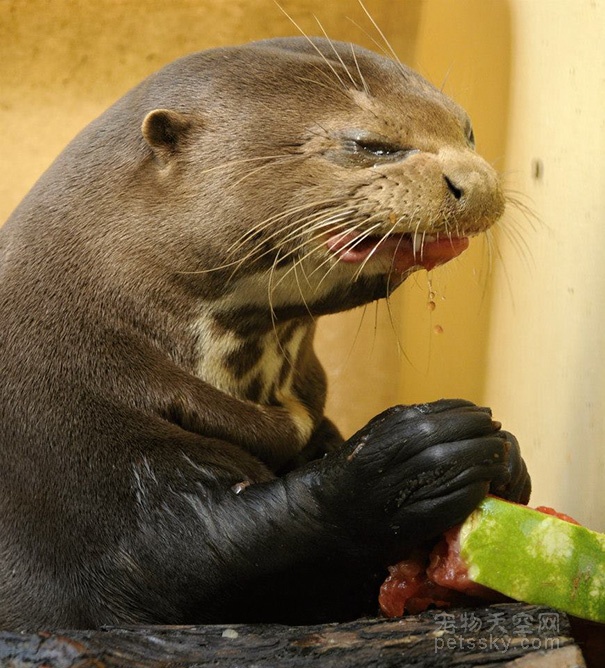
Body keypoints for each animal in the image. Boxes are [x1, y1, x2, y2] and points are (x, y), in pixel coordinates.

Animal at [0, 39, 528, 628]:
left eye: (468, 130)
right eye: (370, 145)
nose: (476, 183)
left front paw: (509, 458)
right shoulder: (78, 460)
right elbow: (194, 555)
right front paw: (406, 461)